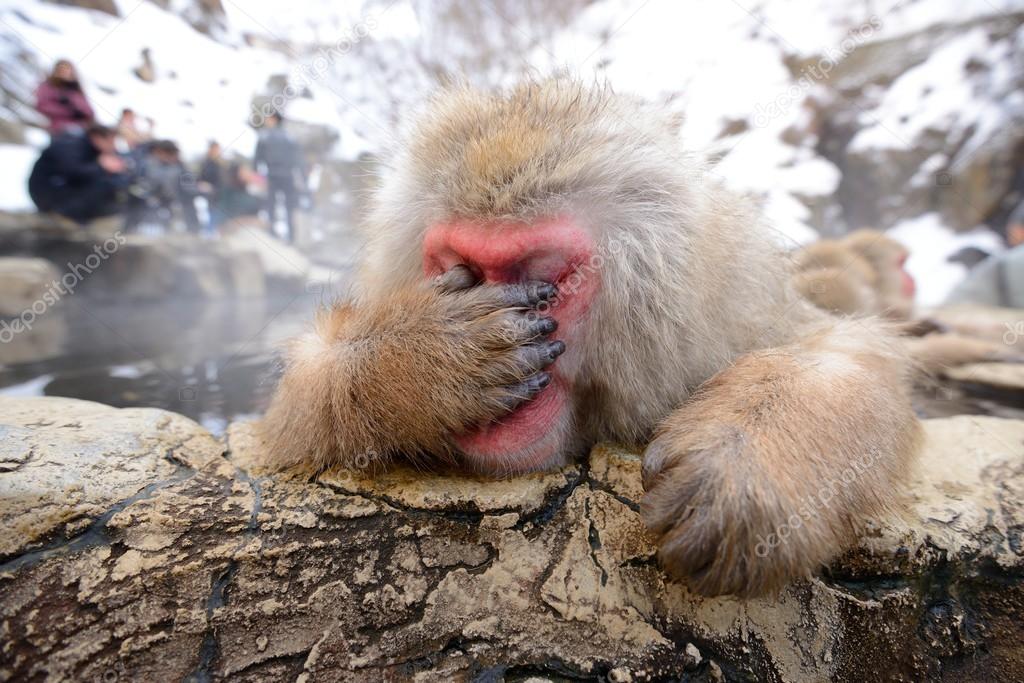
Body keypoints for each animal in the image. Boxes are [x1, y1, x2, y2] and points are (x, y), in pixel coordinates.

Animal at [260, 80, 925, 598]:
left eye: (547, 281)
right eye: (465, 272)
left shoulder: (734, 316)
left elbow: (844, 351)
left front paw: (744, 461)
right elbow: (292, 415)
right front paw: (422, 357)